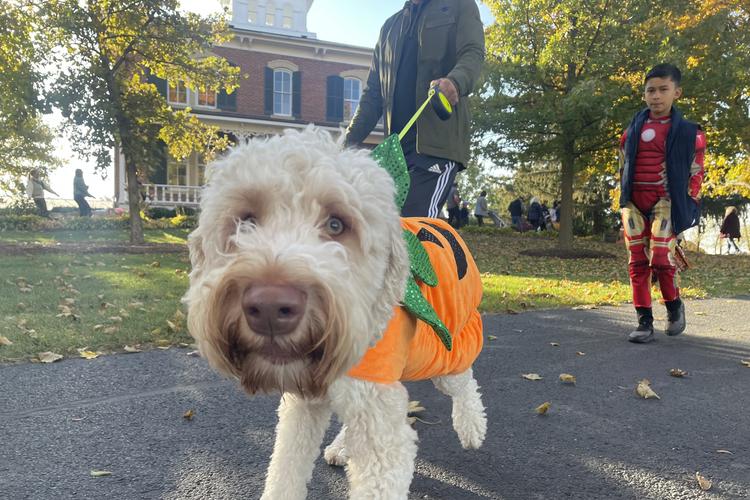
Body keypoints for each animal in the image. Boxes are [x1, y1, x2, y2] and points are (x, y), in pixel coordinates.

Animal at [186, 128, 490, 500]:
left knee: (464, 379)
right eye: (246, 220)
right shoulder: (304, 408)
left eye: (336, 224)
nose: (270, 307)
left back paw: (472, 426)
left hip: (443, 350)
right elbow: (285, 469)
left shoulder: (383, 440)